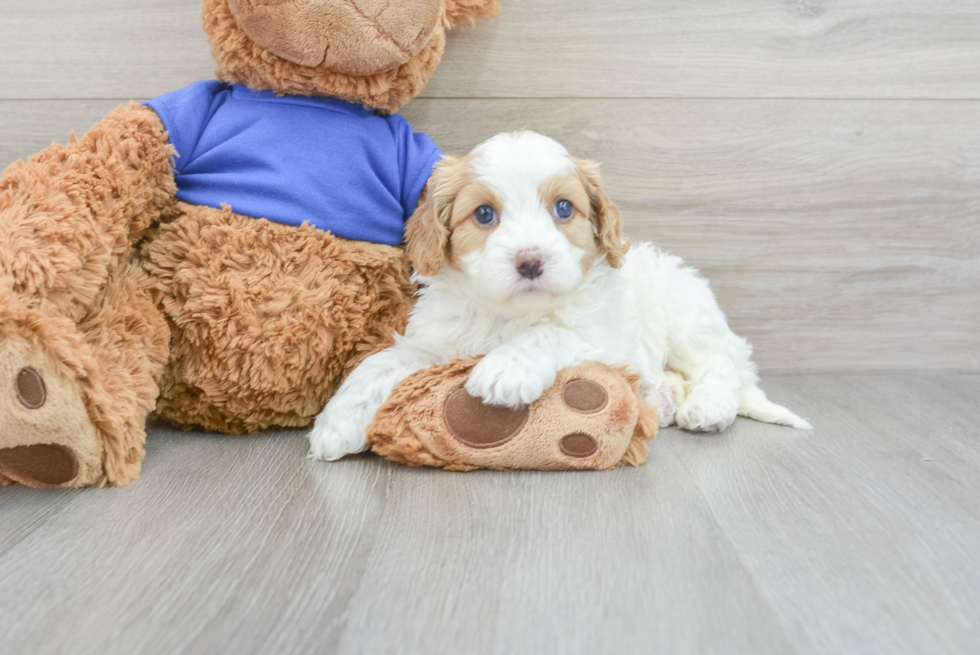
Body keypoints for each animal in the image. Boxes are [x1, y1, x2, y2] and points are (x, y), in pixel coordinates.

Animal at [308, 132, 812, 462]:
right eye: (484, 214)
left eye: (564, 208)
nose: (530, 261)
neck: (508, 315)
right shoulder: (435, 344)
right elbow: (382, 363)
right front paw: (336, 422)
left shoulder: (603, 339)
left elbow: (550, 333)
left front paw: (506, 369)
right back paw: (664, 399)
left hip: (686, 314)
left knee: (723, 365)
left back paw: (707, 407)